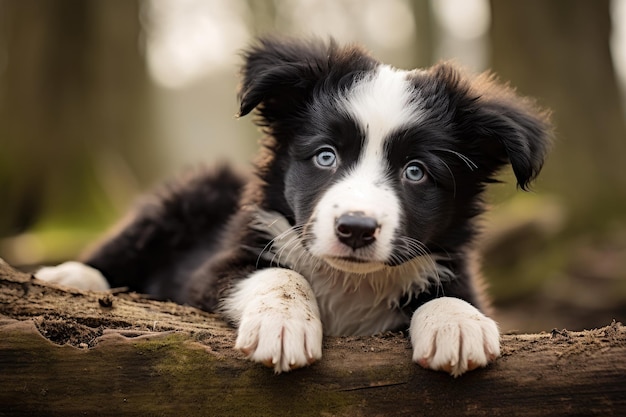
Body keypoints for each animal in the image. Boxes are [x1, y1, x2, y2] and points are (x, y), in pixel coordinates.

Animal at [36, 37, 548, 376]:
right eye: (326, 156)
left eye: (416, 171)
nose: (356, 228)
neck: (349, 282)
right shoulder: (212, 270)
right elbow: (280, 274)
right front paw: (283, 326)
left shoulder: (453, 265)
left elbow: (451, 292)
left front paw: (457, 323)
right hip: (189, 194)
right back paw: (71, 276)